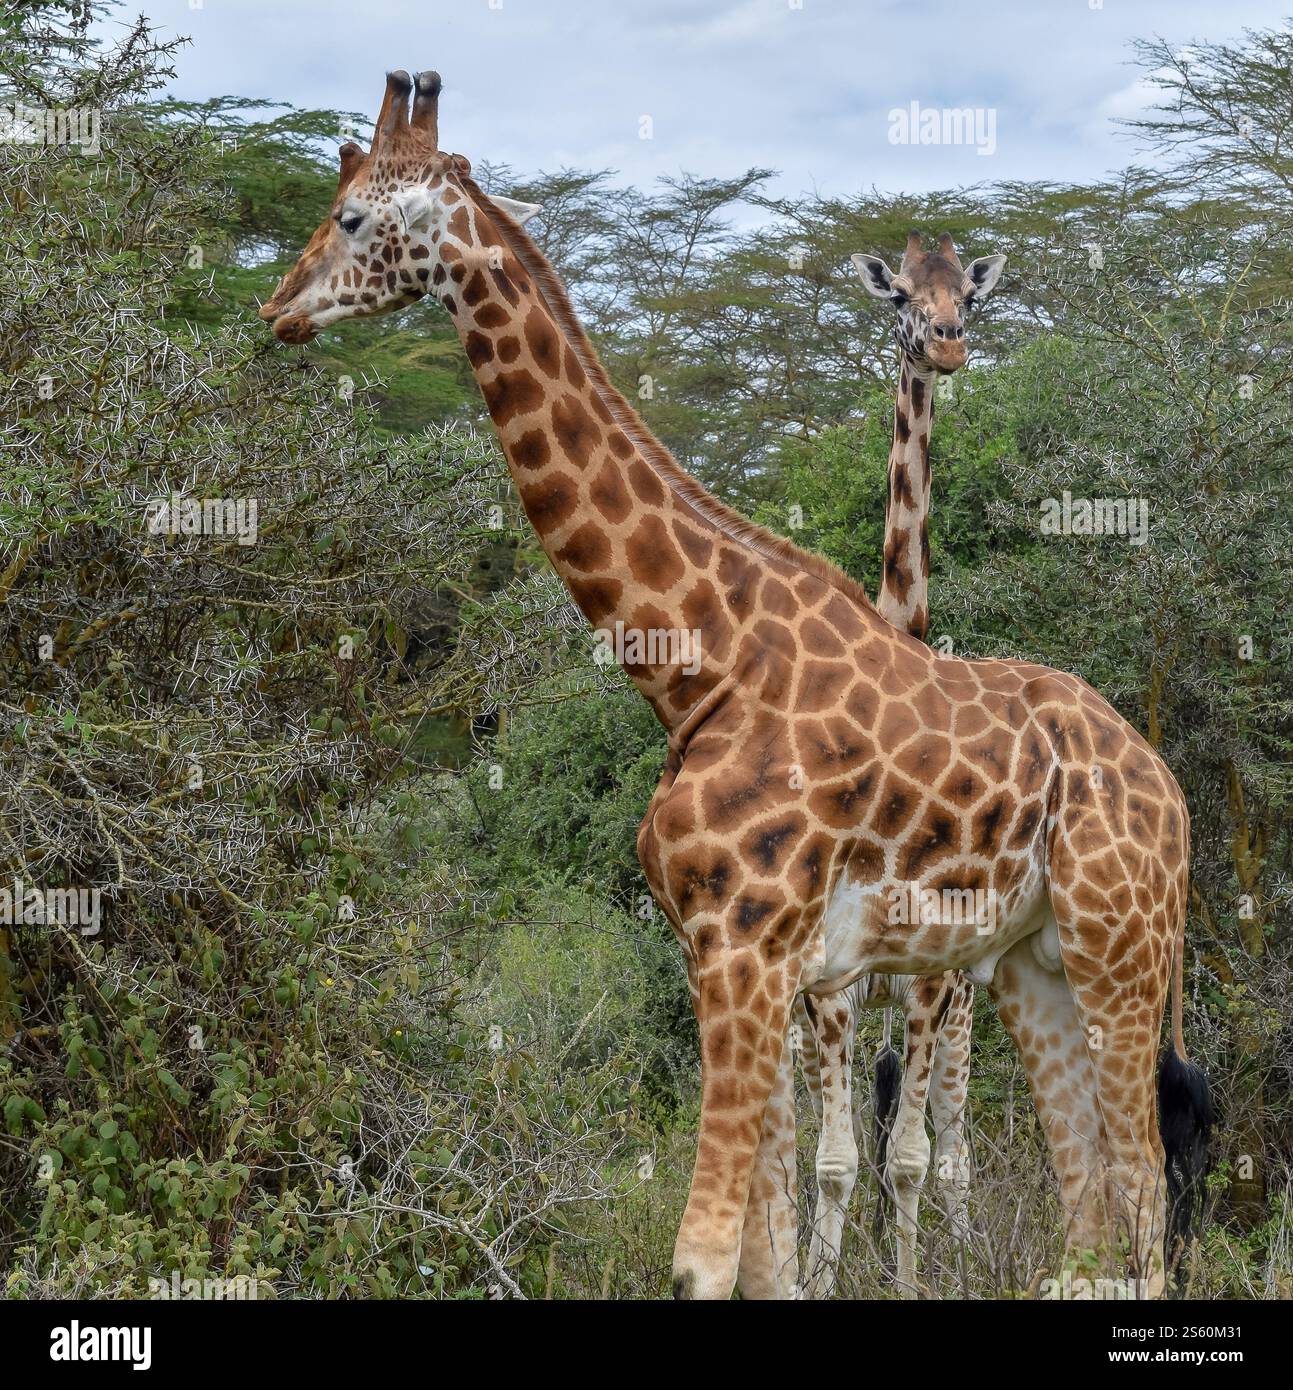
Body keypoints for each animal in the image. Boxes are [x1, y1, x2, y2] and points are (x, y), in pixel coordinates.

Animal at [260, 70, 1213, 1301]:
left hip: (1118, 950)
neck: (695, 665)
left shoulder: (751, 945)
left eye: (352, 218)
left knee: (1139, 1199)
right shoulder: (732, 958)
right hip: (1029, 965)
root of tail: (1169, 786)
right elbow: (772, 1245)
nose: (276, 309)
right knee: (1092, 1216)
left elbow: (709, 1257)